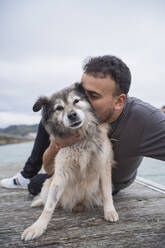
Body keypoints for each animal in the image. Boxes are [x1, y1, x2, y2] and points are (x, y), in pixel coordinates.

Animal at [21, 83, 118, 240]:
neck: (80, 138)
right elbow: (49, 207)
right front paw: (37, 227)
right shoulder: (61, 173)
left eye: (76, 101)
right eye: (59, 108)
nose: (72, 115)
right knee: (46, 199)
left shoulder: (103, 165)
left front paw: (109, 211)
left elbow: (106, 192)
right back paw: (38, 202)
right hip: (47, 184)